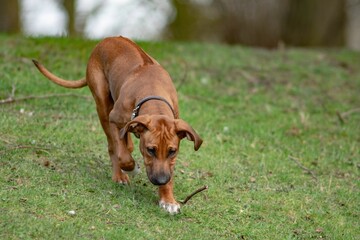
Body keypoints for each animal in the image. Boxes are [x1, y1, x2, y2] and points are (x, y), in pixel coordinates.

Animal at [32, 36, 202, 214]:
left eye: (172, 151)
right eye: (150, 150)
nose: (161, 180)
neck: (153, 93)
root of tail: (108, 39)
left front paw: (168, 199)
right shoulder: (114, 119)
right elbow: (122, 154)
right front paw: (132, 168)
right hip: (102, 104)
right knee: (112, 145)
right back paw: (119, 175)